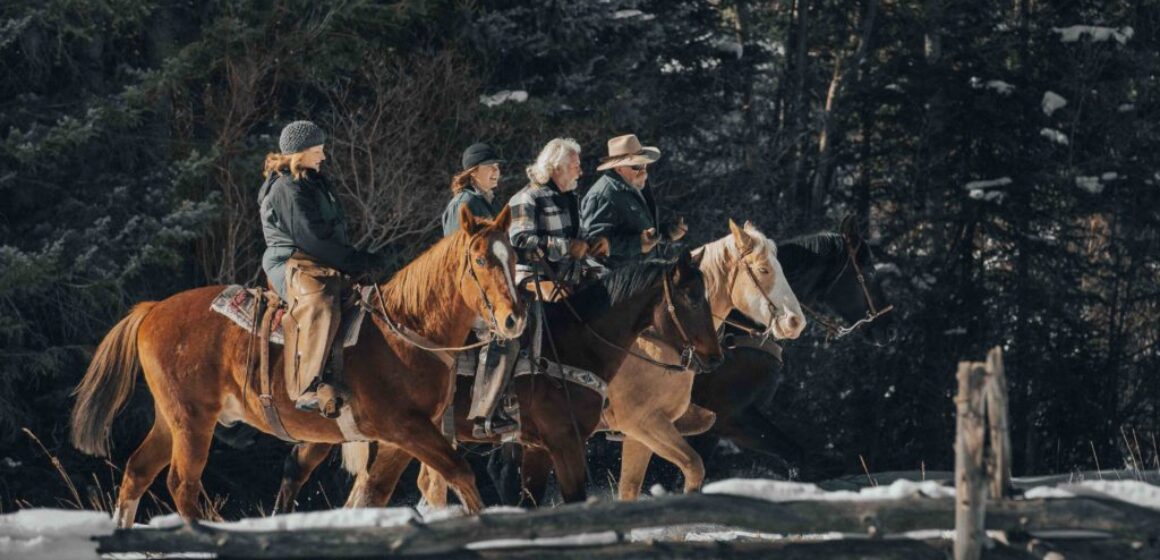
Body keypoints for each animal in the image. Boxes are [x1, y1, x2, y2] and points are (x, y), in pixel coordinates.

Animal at [70, 206, 524, 526]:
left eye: (512, 256)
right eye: (481, 261)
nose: (513, 319)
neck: (407, 330)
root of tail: (152, 310)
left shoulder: (401, 440)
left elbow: (372, 494)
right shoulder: (406, 428)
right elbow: (460, 474)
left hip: (171, 420)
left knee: (137, 472)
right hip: (192, 421)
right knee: (182, 485)